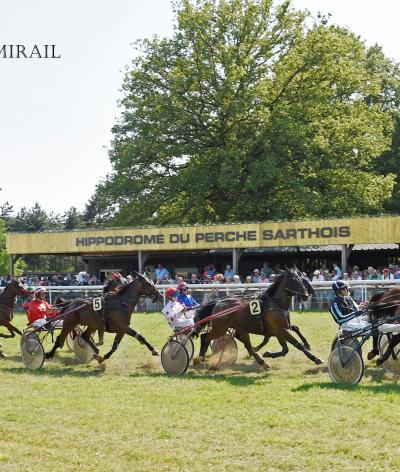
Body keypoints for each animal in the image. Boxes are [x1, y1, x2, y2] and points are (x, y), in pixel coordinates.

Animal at [194, 268, 324, 370]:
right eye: (294, 281)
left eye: (302, 280)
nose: (307, 295)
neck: (275, 304)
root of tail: (217, 303)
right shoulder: (280, 330)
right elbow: (296, 345)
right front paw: (315, 358)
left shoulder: (279, 330)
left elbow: (286, 347)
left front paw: (268, 353)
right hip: (220, 328)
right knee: (205, 337)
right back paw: (199, 358)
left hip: (240, 328)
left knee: (248, 346)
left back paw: (262, 362)